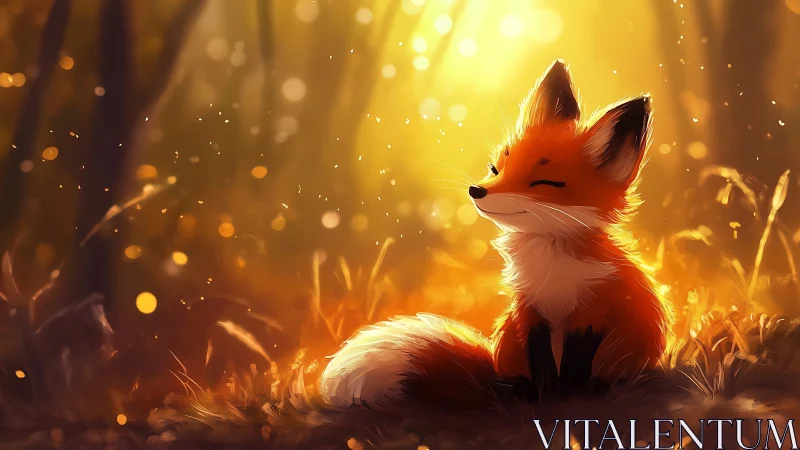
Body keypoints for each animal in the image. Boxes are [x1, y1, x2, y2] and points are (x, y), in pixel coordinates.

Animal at [317, 60, 673, 413]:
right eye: (495, 168)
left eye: (544, 183)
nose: (476, 191)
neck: (551, 265)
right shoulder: (528, 311)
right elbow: (542, 363)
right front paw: (544, 398)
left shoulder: (592, 312)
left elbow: (575, 365)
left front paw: (570, 398)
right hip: (508, 337)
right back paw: (517, 391)